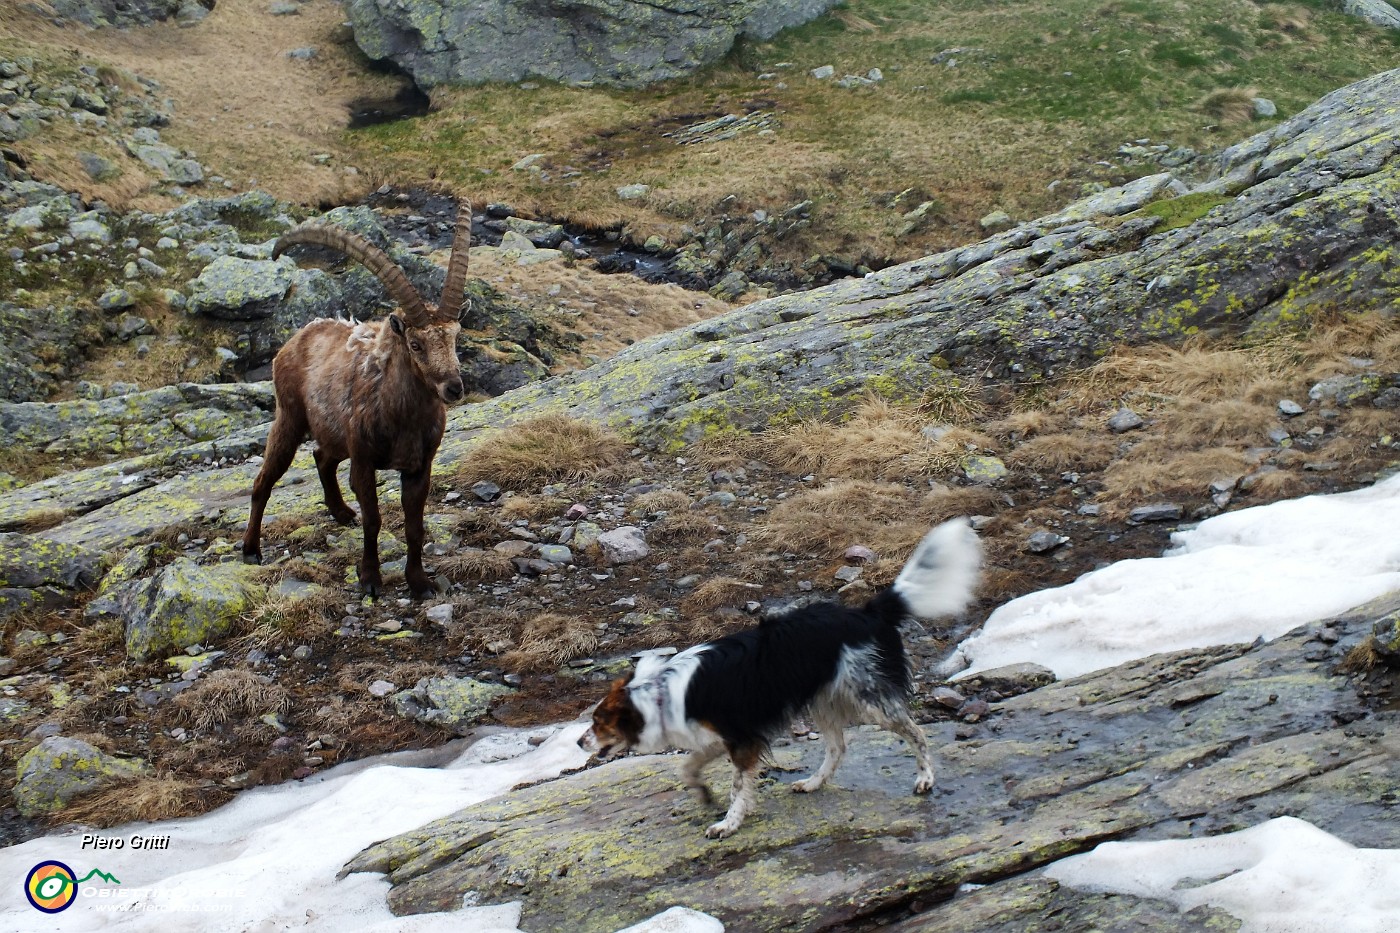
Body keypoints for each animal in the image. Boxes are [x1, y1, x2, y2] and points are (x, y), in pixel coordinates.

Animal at [574, 515, 980, 834]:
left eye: (598, 723)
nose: (578, 743)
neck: (658, 693)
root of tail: (868, 612)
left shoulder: (742, 739)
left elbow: (738, 786)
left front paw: (729, 823)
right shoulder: (719, 737)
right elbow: (687, 769)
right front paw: (704, 795)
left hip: (868, 698)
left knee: (916, 733)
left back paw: (925, 778)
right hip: (823, 700)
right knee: (838, 747)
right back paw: (813, 784)